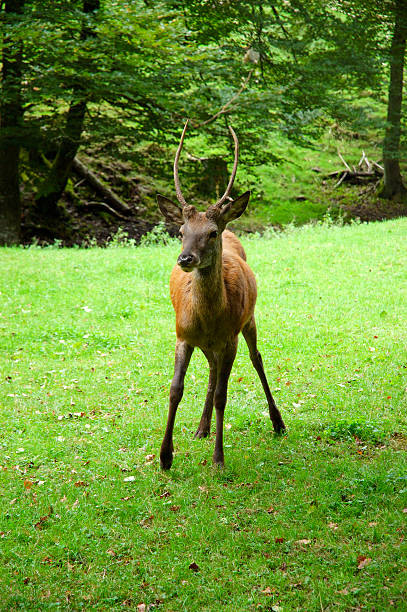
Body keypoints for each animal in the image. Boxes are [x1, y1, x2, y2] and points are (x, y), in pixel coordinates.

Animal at [158, 120, 286, 468]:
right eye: (181, 231)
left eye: (211, 233)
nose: (185, 259)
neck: (208, 318)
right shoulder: (183, 334)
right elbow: (175, 389)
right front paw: (165, 456)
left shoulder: (229, 338)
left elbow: (222, 395)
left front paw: (218, 458)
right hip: (209, 343)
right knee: (213, 370)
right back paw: (201, 428)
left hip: (248, 320)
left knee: (256, 359)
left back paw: (278, 422)